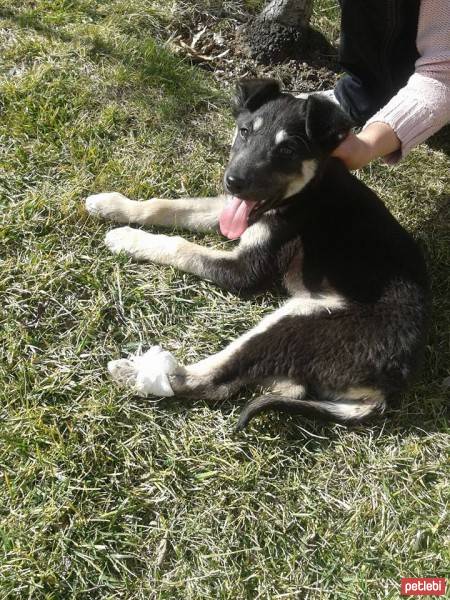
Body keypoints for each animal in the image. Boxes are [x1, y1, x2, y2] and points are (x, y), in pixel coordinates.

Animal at [85, 79, 428, 428]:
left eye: (288, 150)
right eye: (245, 131)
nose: (233, 182)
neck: (305, 194)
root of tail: (388, 387)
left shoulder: (245, 271)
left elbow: (181, 246)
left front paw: (127, 238)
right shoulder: (230, 212)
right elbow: (168, 206)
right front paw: (112, 204)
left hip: (301, 323)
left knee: (216, 381)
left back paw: (139, 374)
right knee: (287, 384)